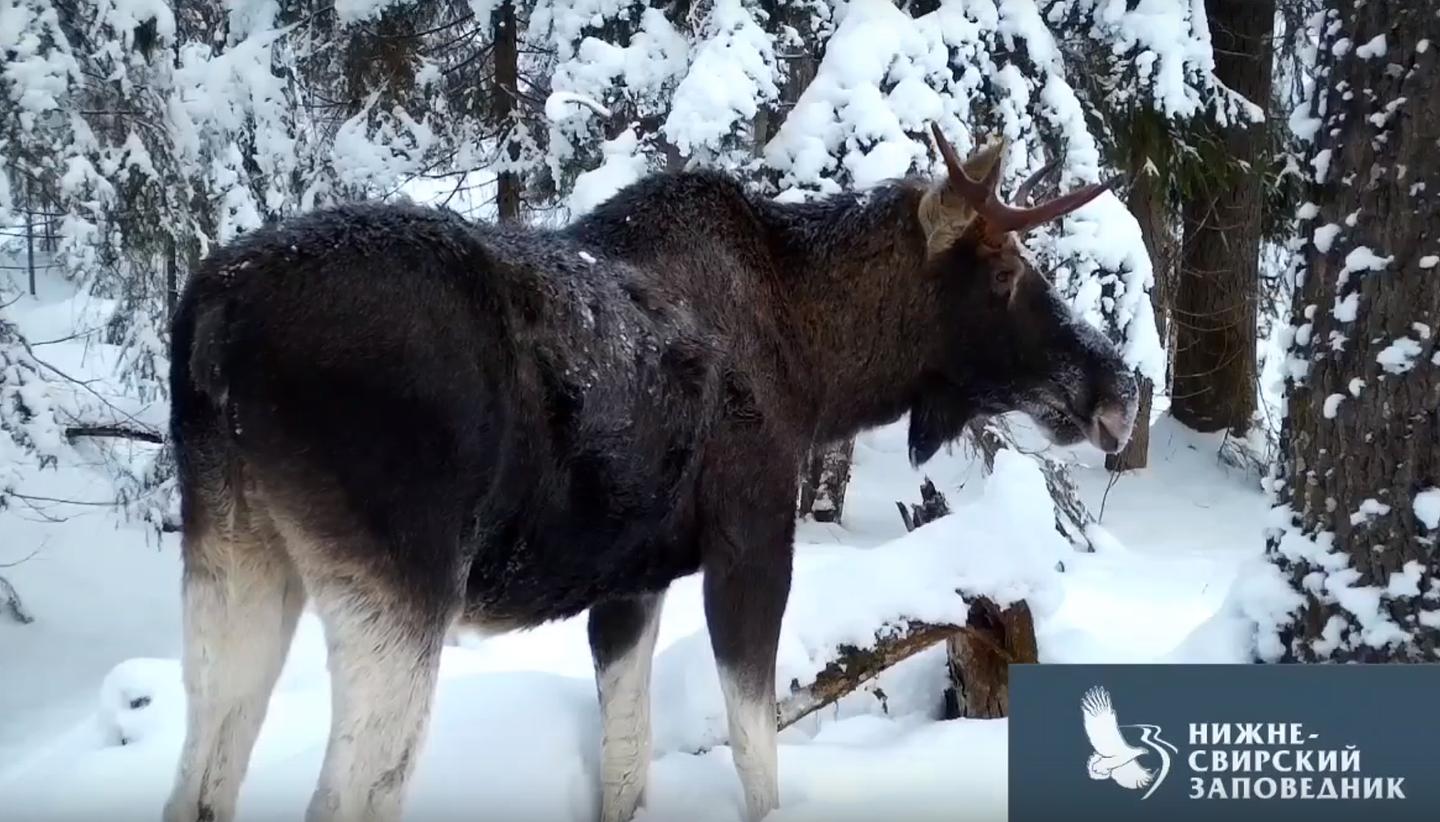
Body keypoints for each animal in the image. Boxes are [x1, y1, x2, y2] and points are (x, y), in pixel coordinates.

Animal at [163, 123, 1134, 822]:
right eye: (1006, 270)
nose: (1118, 387)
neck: (820, 372)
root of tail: (214, 316)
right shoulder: (749, 542)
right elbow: (755, 756)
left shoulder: (630, 583)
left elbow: (625, 769)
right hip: (402, 586)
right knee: (346, 794)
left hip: (238, 560)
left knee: (201, 778)